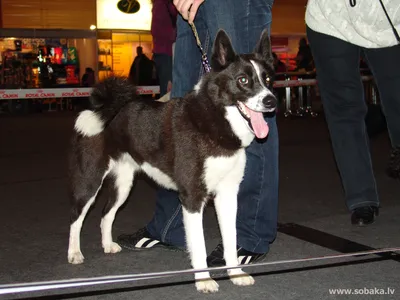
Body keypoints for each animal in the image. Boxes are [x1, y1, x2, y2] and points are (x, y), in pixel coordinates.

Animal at [67, 29, 276, 292]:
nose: (271, 101)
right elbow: (198, 244)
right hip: (90, 179)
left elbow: (230, 239)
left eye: (267, 79)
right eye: (243, 80)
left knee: (107, 213)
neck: (214, 120)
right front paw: (204, 280)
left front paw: (235, 273)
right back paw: (74, 253)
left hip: (124, 184)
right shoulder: (192, 197)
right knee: (76, 217)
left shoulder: (227, 194)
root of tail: (105, 108)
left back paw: (107, 245)